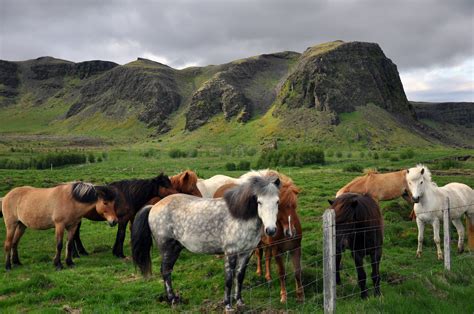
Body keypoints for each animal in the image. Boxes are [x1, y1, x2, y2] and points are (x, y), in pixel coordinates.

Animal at [131, 175, 282, 310]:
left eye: (277, 202)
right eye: (259, 202)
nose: (270, 230)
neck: (240, 215)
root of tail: (153, 206)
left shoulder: (246, 253)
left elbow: (239, 276)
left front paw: (239, 302)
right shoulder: (231, 252)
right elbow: (229, 279)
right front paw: (228, 305)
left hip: (176, 248)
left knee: (167, 271)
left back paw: (173, 300)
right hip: (167, 248)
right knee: (165, 271)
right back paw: (172, 299)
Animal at [214, 172, 304, 304]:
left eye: (294, 205)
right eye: (280, 204)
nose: (290, 232)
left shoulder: (296, 248)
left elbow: (297, 272)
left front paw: (300, 295)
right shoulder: (277, 251)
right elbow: (281, 273)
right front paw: (283, 296)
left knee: (266, 257)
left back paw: (268, 277)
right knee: (259, 255)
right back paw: (259, 272)